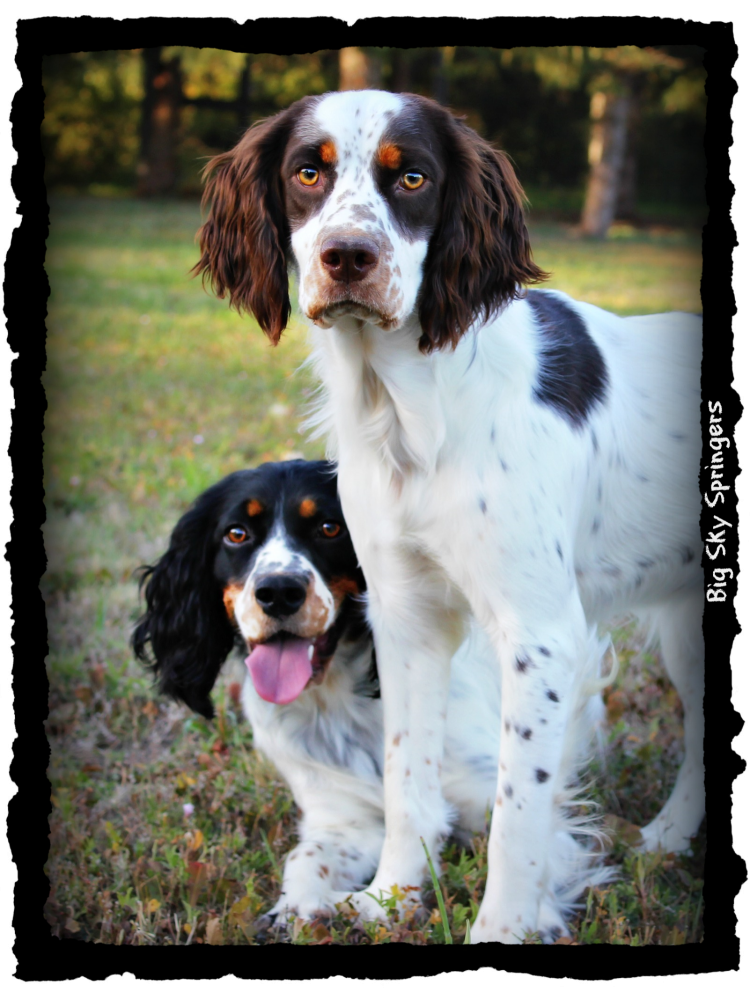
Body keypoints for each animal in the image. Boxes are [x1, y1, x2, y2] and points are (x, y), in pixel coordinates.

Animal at [134, 460, 604, 928]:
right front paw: (295, 909)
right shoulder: (345, 820)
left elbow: (523, 851)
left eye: (329, 527)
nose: (279, 592)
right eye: (236, 533)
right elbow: (304, 857)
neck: (339, 700)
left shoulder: (498, 797)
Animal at [189, 90, 704, 940]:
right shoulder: (404, 615)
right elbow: (406, 776)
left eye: (414, 177)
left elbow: (517, 809)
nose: (349, 257)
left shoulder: (540, 635)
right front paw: (392, 895)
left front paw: (501, 931)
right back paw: (668, 836)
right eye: (307, 172)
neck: (413, 410)